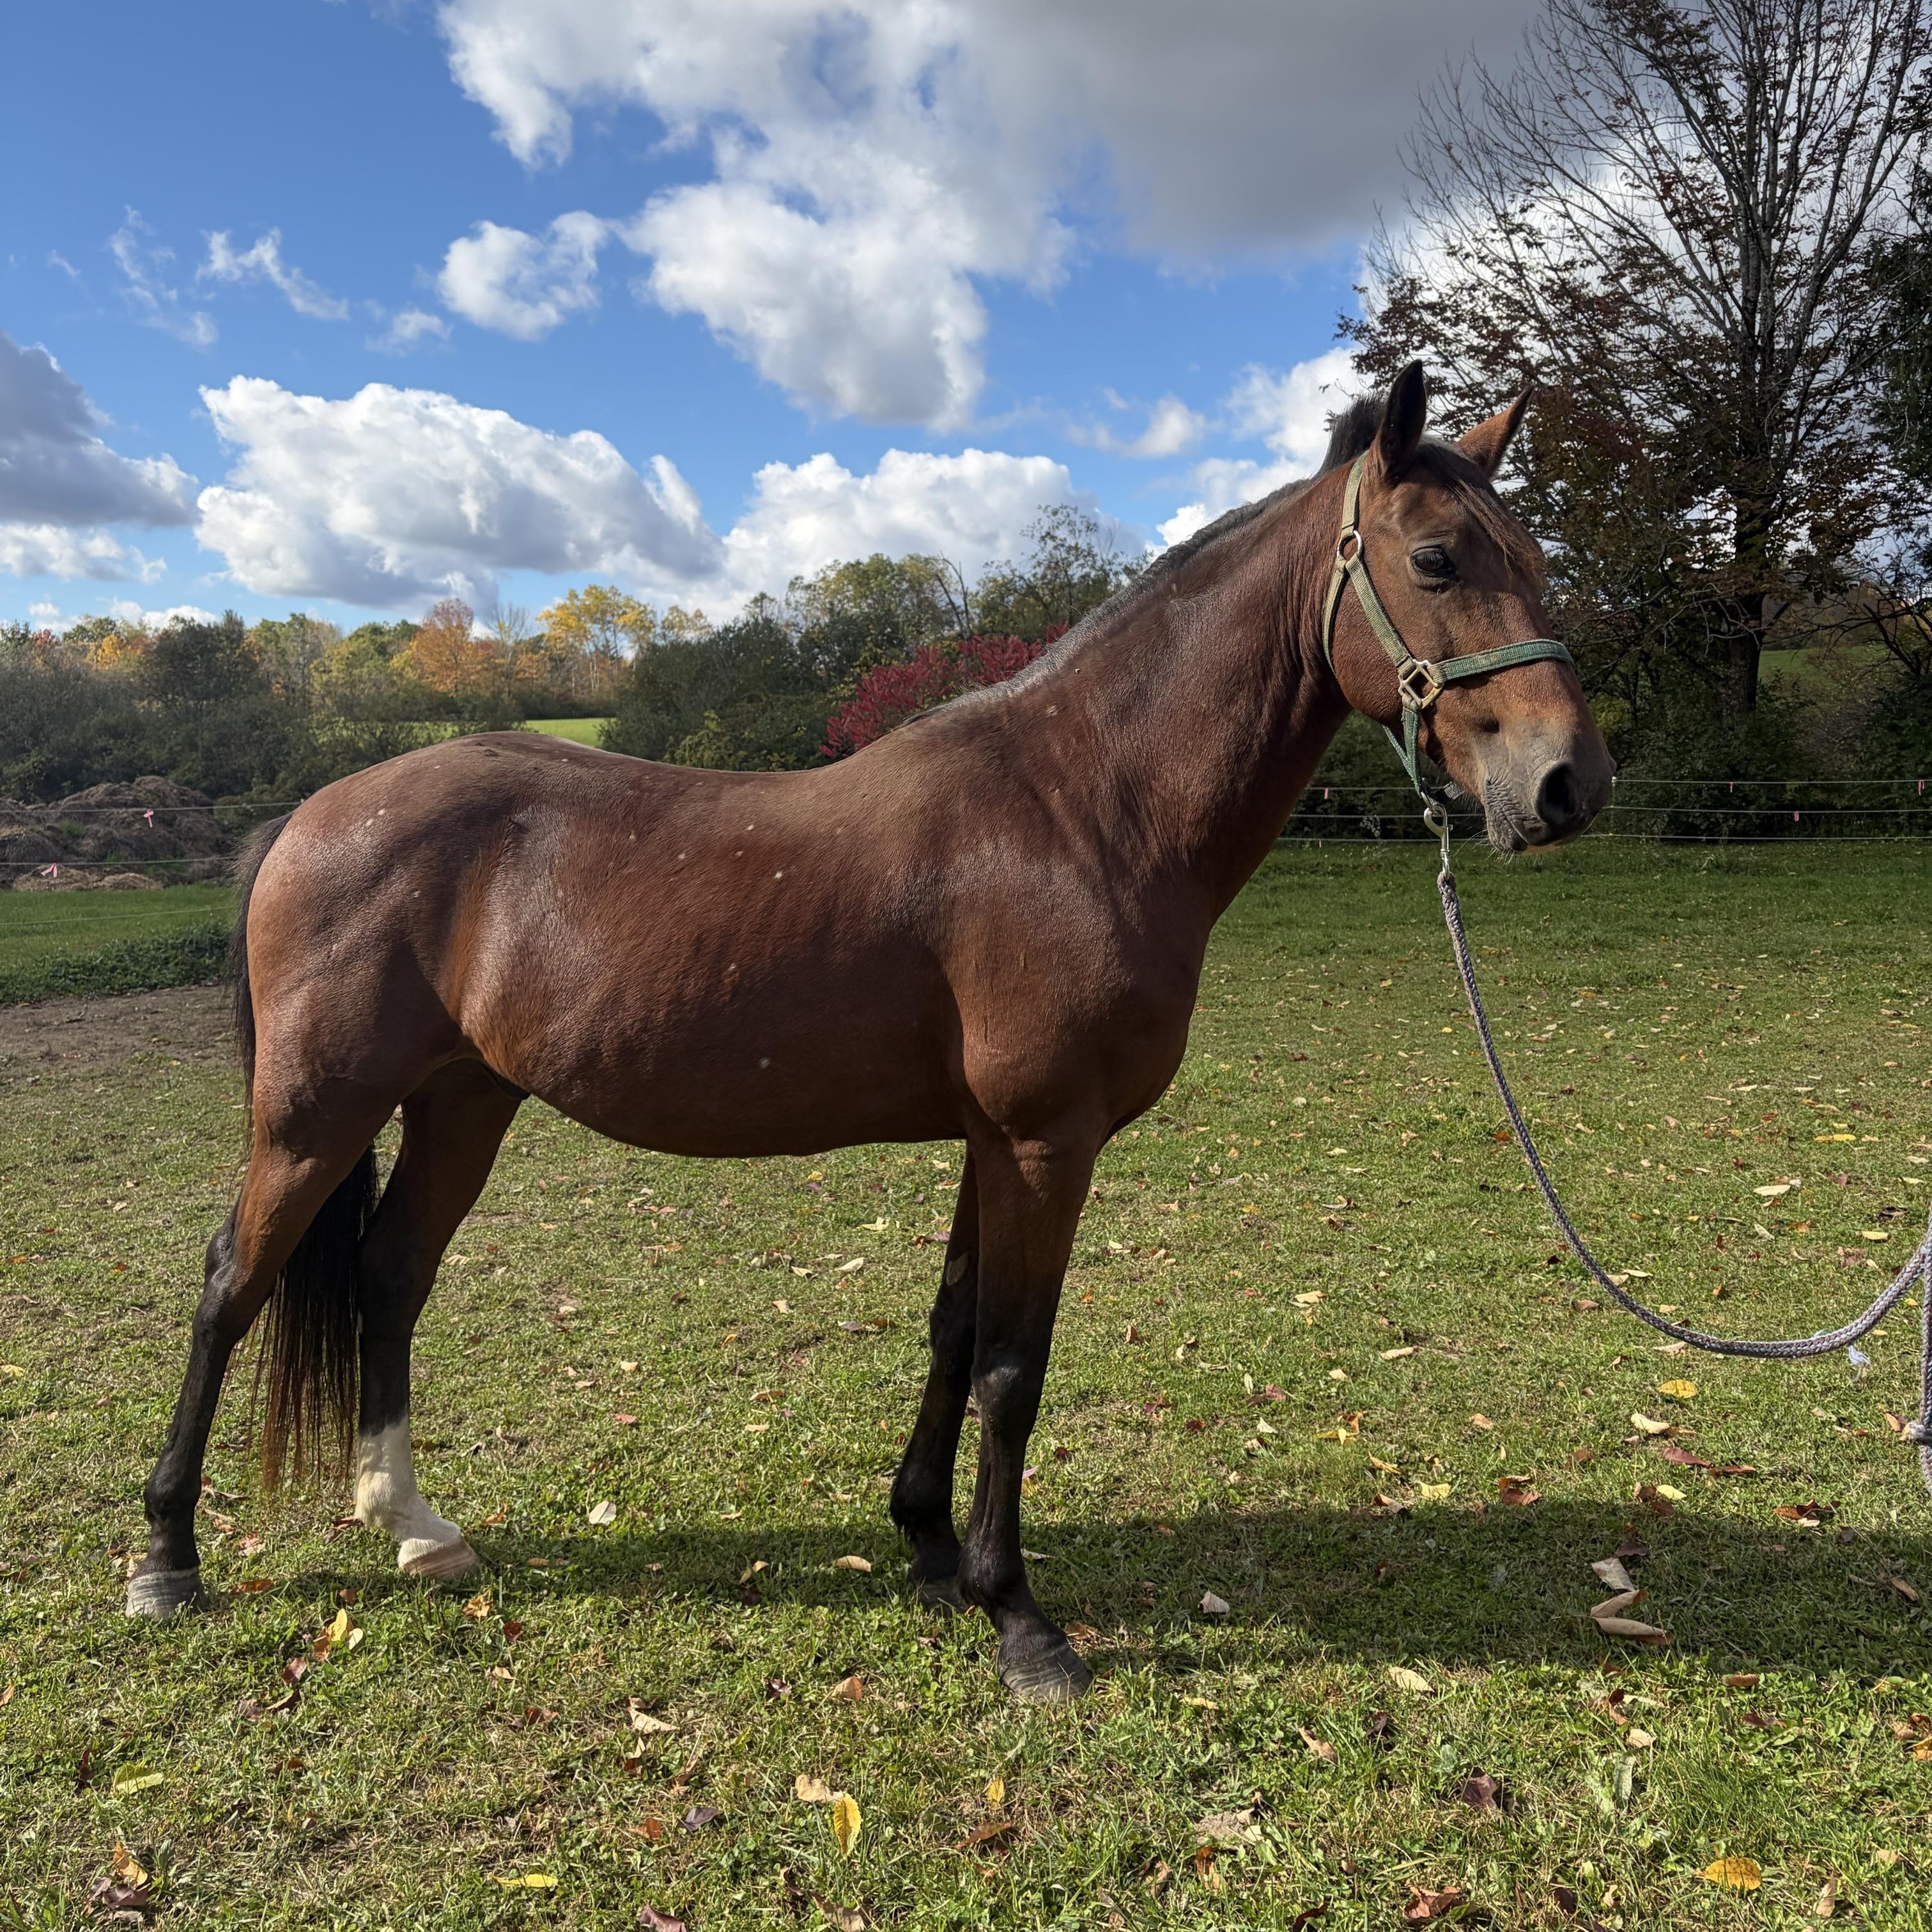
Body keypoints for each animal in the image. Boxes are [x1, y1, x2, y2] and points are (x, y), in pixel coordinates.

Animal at [127, 363, 1613, 1703]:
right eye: (1434, 556)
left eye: (1537, 558)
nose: (1564, 784)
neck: (1083, 806)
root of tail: (311, 814)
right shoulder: (1044, 1141)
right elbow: (1012, 1365)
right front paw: (1019, 1620)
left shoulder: (989, 1141)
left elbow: (953, 1331)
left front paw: (927, 1547)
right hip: (314, 1113)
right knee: (230, 1285)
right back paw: (166, 1557)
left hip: (460, 1100)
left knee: (389, 1276)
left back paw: (415, 1529)